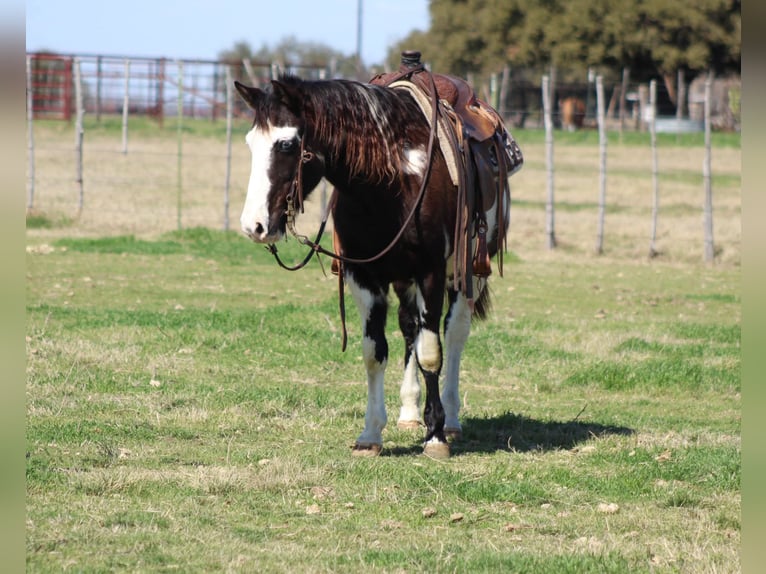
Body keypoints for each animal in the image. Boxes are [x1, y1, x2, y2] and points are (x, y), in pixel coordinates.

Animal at [234, 53, 520, 460]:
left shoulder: (431, 271)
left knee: (454, 333)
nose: (253, 225)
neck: (390, 180)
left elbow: (431, 352)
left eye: (287, 144)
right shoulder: (364, 275)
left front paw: (435, 436)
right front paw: (371, 433)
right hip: (404, 279)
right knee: (410, 328)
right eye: (250, 143)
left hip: (471, 272)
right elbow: (375, 351)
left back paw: (450, 419)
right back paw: (410, 412)